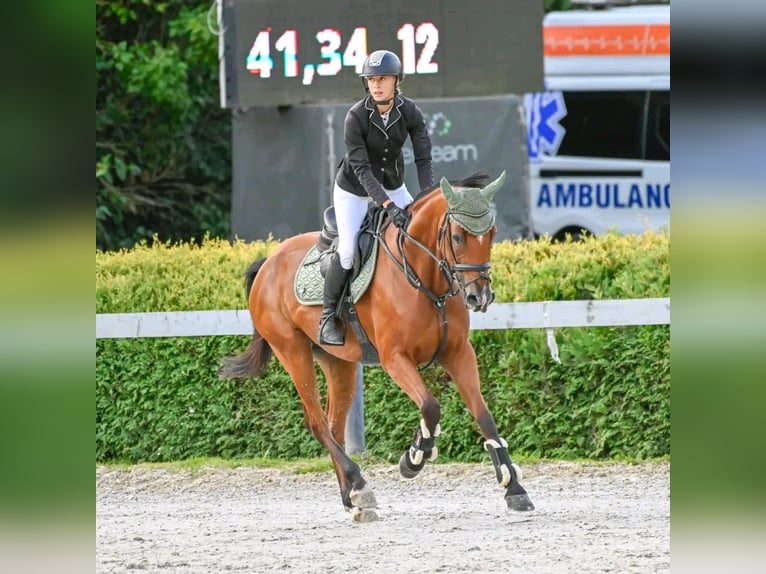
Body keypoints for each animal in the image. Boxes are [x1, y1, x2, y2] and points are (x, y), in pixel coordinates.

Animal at [220, 172, 535, 522]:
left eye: (491, 234)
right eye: (457, 237)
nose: (479, 297)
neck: (426, 280)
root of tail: (268, 262)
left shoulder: (458, 354)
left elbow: (484, 416)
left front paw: (514, 488)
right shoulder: (395, 358)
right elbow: (431, 407)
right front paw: (414, 456)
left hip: (339, 362)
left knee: (334, 426)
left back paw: (352, 498)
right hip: (292, 352)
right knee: (317, 423)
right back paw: (359, 485)